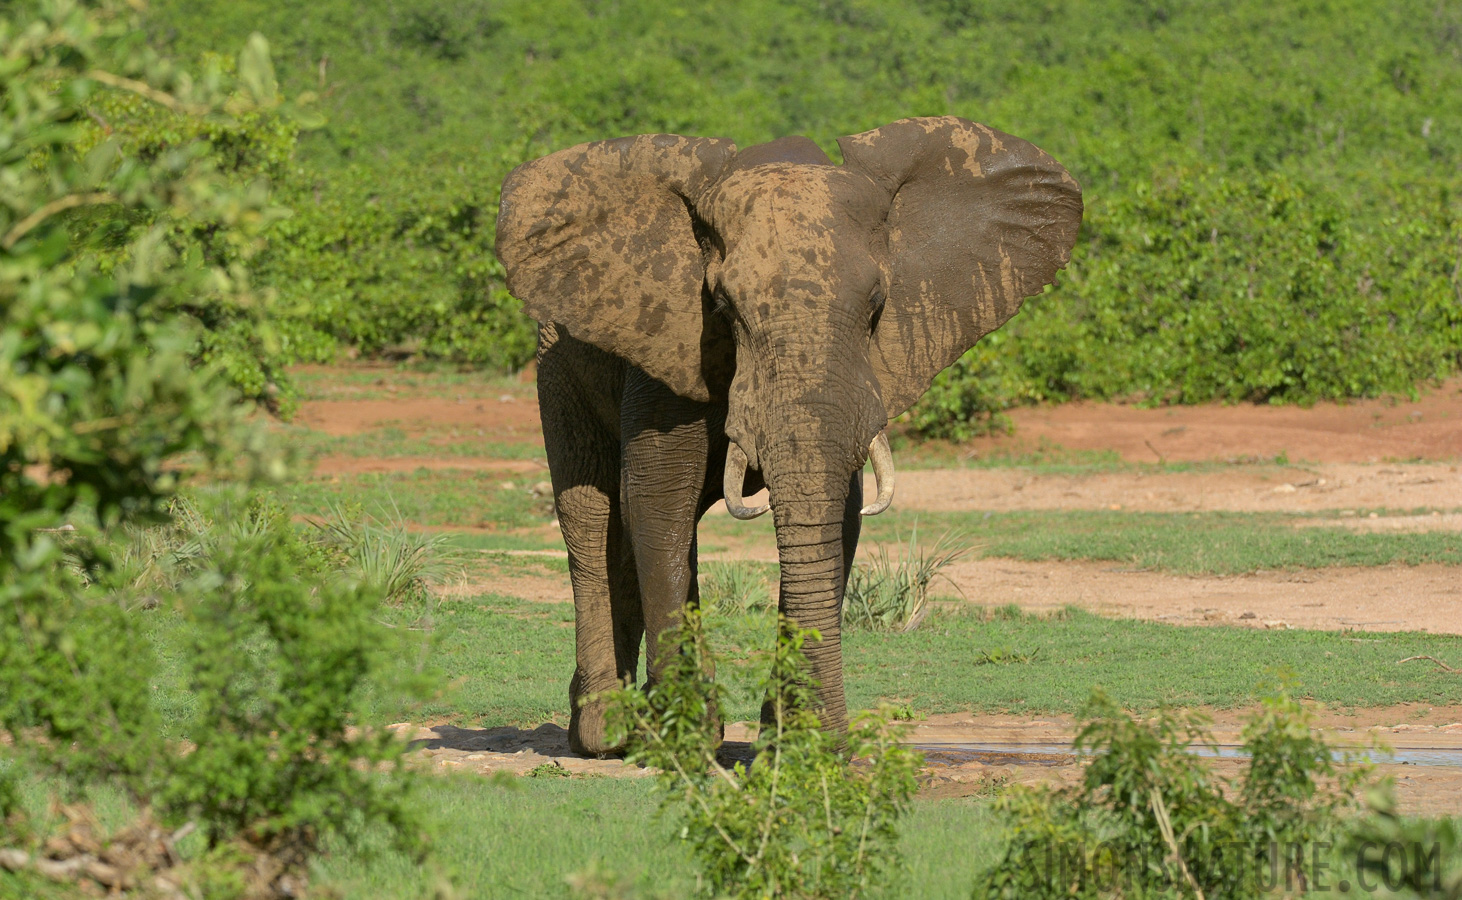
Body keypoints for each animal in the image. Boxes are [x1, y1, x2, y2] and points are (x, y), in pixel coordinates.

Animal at [497, 116, 1081, 753]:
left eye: (877, 304)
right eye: (722, 307)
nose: (837, 748)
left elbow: (838, 518)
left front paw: (788, 745)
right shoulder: (665, 345)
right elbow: (657, 499)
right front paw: (686, 740)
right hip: (557, 365)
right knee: (590, 515)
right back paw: (607, 731)